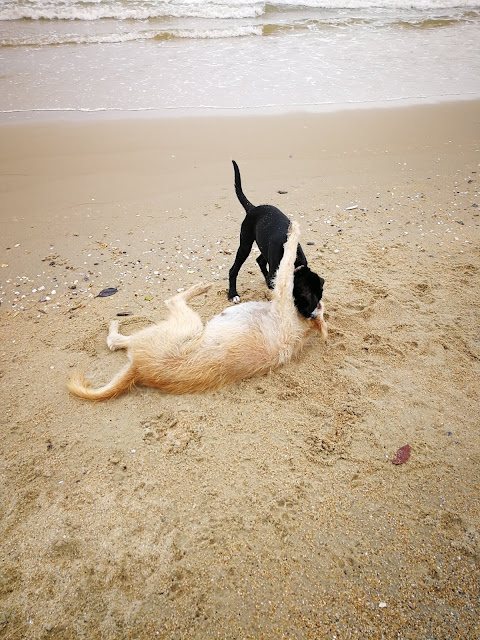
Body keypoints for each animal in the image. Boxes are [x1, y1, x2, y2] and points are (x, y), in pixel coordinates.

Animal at [67, 222, 328, 398]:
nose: (321, 278)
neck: (303, 324)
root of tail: (139, 370)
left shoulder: (283, 290)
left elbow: (287, 259)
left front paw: (293, 231)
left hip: (187, 324)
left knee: (145, 320)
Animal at [227, 160, 324, 320]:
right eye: (309, 302)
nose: (314, 316)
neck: (294, 263)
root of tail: (253, 208)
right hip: (245, 244)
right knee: (233, 270)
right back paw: (233, 294)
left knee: (260, 260)